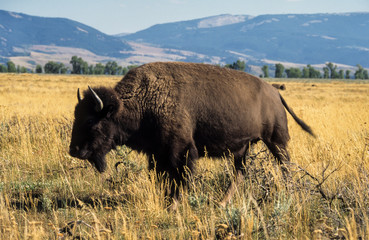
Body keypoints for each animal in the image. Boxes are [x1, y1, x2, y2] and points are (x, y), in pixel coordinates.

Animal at [69, 62, 314, 206]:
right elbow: (162, 178)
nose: (74, 150)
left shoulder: (181, 150)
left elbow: (179, 179)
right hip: (243, 148)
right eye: (76, 115)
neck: (142, 100)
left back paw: (289, 194)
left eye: (90, 120)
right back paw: (222, 203)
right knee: (240, 173)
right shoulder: (157, 153)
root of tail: (274, 92)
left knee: (285, 166)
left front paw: (174, 204)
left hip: (275, 141)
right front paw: (166, 202)